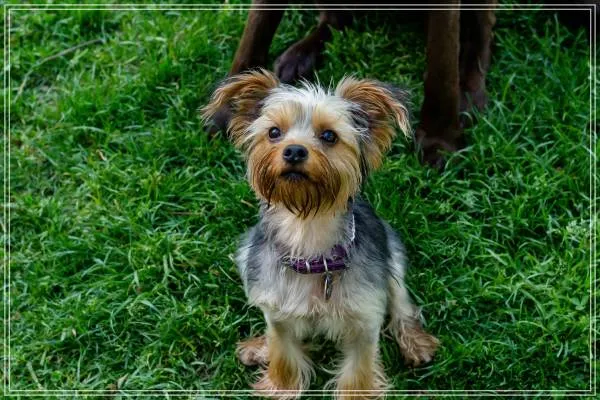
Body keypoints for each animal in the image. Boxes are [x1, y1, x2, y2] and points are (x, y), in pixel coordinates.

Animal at [202, 69, 439, 398]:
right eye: (273, 132)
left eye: (329, 136)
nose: (294, 150)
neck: (307, 233)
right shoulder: (277, 313)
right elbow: (283, 353)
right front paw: (280, 387)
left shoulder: (365, 318)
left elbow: (359, 370)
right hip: (245, 252)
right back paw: (259, 347)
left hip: (393, 252)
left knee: (402, 303)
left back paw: (416, 344)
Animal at [212, 1, 497, 169]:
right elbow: (257, 28)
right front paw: (231, 106)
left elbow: (443, 62)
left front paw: (440, 139)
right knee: (336, 20)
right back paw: (300, 57)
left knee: (482, 33)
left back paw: (470, 94)